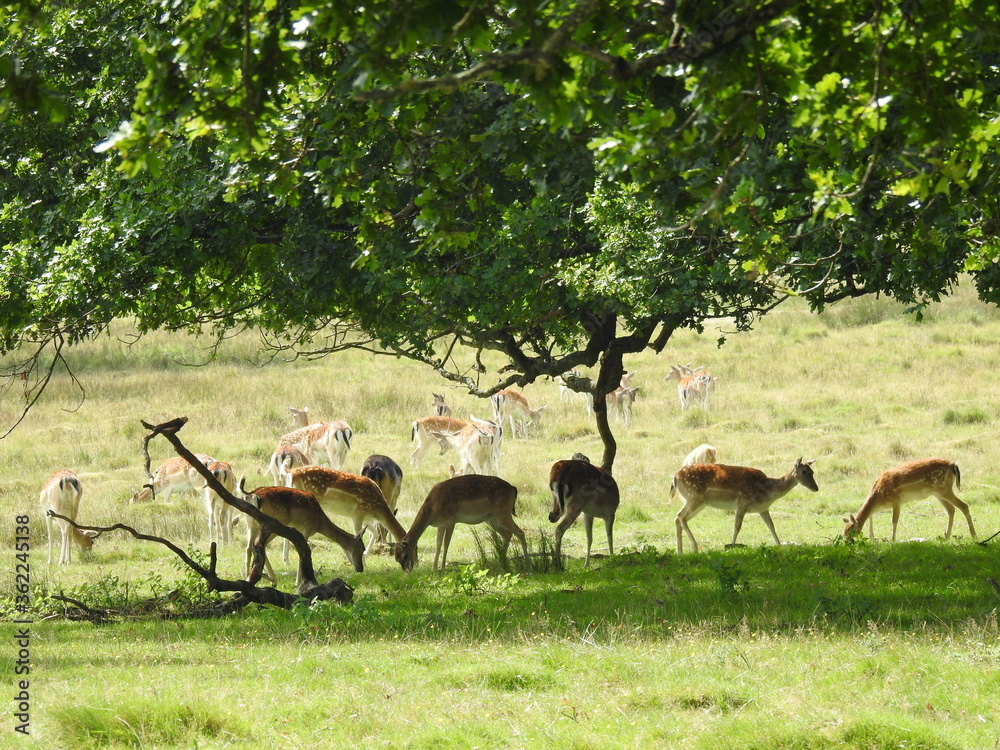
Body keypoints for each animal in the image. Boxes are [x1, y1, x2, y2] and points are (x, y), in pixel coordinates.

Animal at [395, 474, 528, 571]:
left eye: (405, 555)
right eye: (396, 558)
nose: (406, 570)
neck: (432, 508)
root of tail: (513, 488)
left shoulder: (451, 519)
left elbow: (446, 544)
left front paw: (442, 568)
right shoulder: (440, 524)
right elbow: (438, 545)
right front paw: (434, 568)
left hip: (503, 512)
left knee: (520, 532)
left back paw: (527, 562)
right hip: (492, 518)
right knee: (507, 534)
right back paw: (501, 560)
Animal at [670, 458, 818, 553]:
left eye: (812, 471)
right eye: (804, 471)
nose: (816, 488)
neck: (768, 490)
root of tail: (675, 477)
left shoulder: (763, 509)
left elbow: (771, 527)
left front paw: (779, 545)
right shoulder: (741, 504)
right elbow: (737, 527)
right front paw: (731, 546)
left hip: (699, 502)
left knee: (678, 518)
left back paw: (680, 551)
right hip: (693, 497)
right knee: (680, 516)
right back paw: (694, 547)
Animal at [843, 458, 976, 542]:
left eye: (850, 530)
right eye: (844, 530)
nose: (846, 541)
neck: (879, 495)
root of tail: (953, 465)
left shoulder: (896, 501)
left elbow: (894, 521)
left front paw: (893, 539)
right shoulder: (881, 506)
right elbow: (871, 516)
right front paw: (872, 537)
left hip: (943, 488)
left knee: (964, 505)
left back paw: (973, 535)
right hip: (938, 493)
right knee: (951, 509)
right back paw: (946, 536)